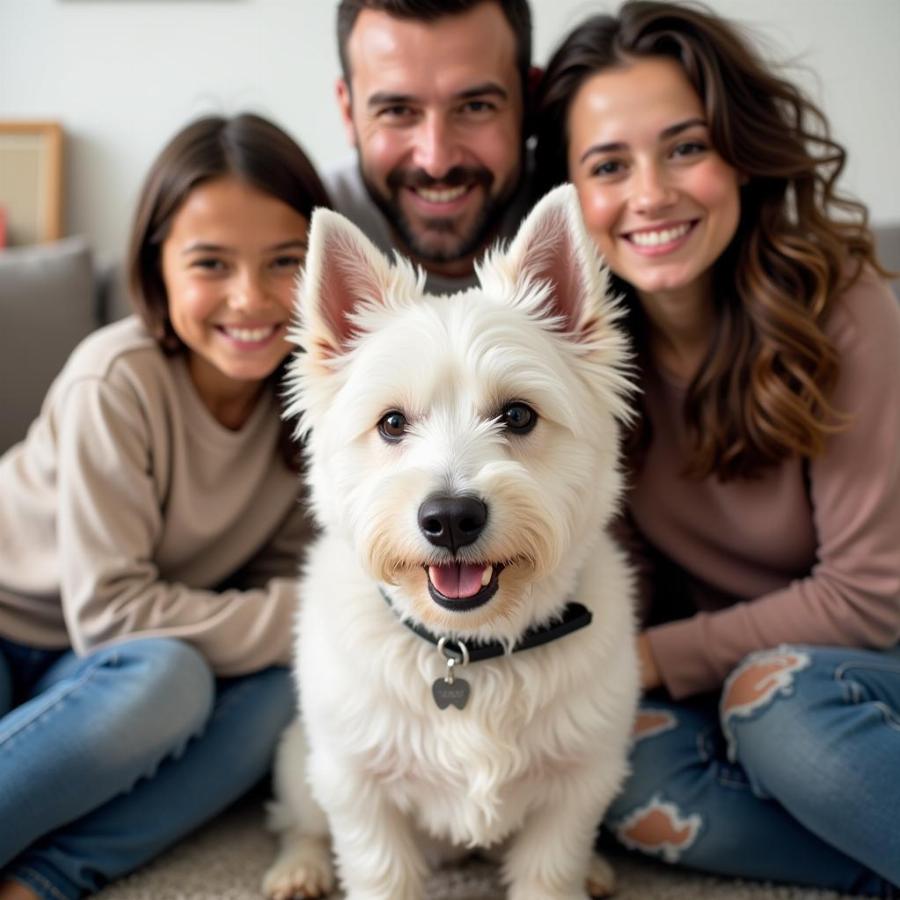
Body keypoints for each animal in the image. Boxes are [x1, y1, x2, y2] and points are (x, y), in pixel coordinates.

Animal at [262, 185, 640, 900]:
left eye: (518, 414)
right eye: (391, 423)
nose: (451, 518)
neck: (468, 653)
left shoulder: (577, 784)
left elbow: (553, 871)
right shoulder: (359, 788)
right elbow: (378, 871)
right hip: (303, 758)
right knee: (299, 820)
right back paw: (298, 868)